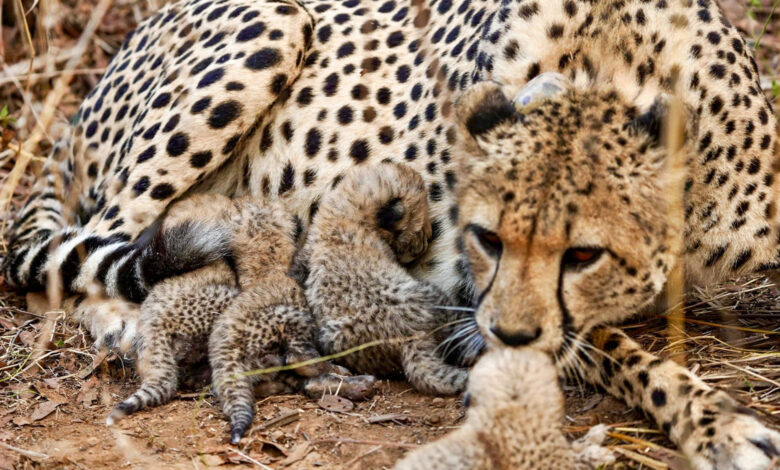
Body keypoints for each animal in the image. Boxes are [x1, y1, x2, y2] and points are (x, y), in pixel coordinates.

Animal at [298, 162, 469, 395]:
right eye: (422, 224)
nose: (427, 240)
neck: (346, 215)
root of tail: (411, 338)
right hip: (430, 294)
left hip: (330, 336)